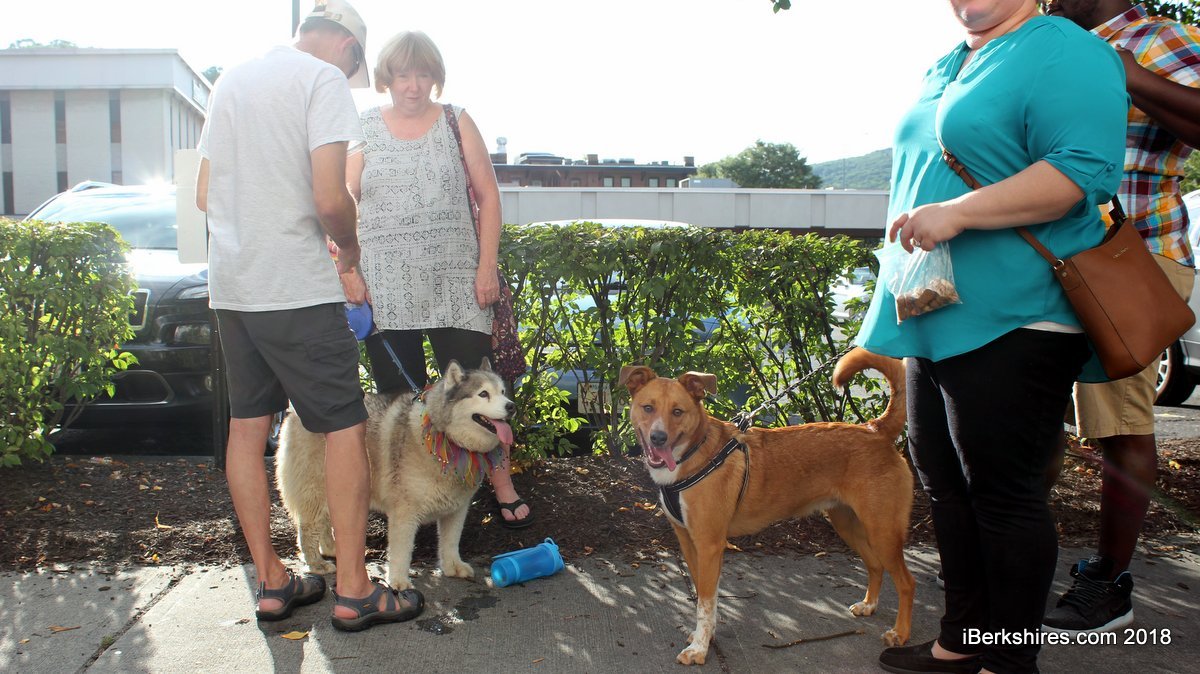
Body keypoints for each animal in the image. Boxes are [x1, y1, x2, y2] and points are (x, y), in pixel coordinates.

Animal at [275, 359, 514, 590]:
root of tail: (295, 412)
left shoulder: (456, 510)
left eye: (503, 392)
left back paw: (331, 548)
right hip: (314, 489)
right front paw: (398, 581)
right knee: (307, 529)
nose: (511, 406)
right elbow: (402, 550)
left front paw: (452, 566)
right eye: (483, 394)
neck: (444, 439)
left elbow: (450, 541)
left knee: (325, 521)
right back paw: (316, 563)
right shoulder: (404, 512)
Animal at [619, 347, 914, 665]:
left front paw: (699, 648)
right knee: (874, 565)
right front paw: (705, 636)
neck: (693, 454)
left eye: (677, 412)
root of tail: (875, 429)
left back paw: (900, 633)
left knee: (906, 582)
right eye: (648, 408)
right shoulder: (688, 541)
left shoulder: (710, 544)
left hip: (882, 530)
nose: (658, 438)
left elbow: (706, 603)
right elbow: (703, 595)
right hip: (847, 523)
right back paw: (869, 605)